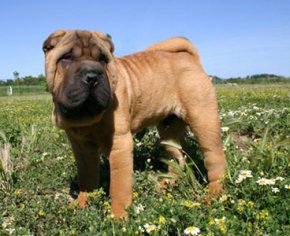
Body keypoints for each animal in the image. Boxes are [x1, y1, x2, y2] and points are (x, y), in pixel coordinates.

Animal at [42, 29, 227, 219]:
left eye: (103, 59)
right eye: (67, 58)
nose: (92, 76)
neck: (87, 117)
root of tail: (190, 58)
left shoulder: (119, 144)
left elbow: (118, 187)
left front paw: (118, 218)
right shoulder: (82, 148)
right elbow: (87, 177)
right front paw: (81, 204)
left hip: (203, 120)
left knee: (215, 158)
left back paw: (213, 195)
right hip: (169, 131)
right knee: (177, 159)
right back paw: (165, 186)